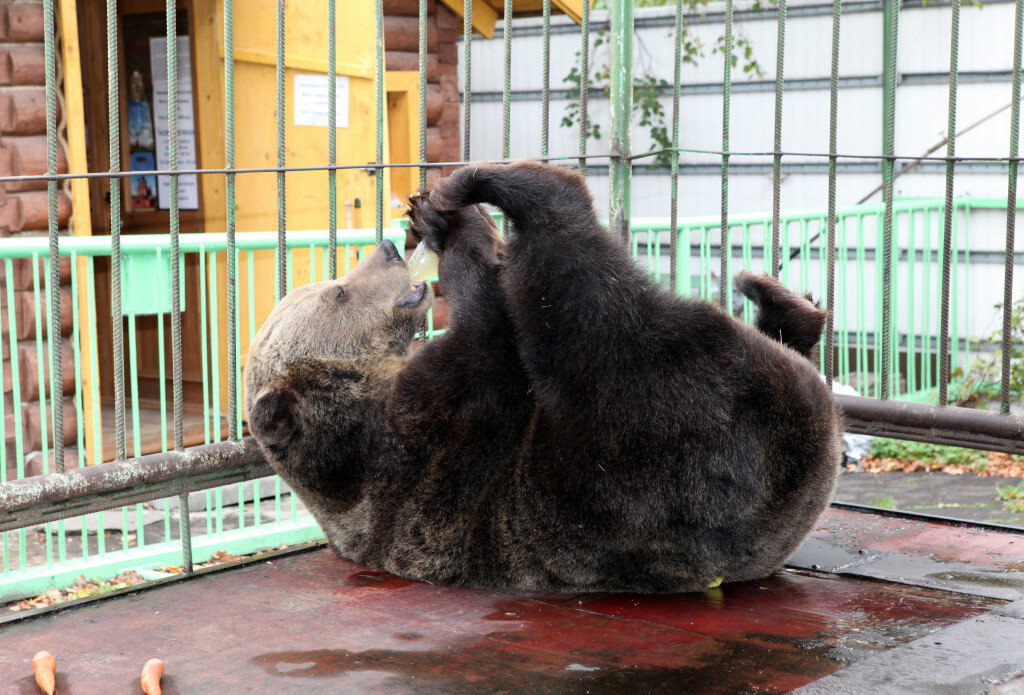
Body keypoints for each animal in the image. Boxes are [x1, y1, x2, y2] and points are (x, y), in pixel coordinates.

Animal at [241, 162, 839, 593]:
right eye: (338, 293)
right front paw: (455, 228)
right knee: (583, 293)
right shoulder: (420, 437)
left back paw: (778, 297)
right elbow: (485, 339)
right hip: (649, 441)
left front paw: (431, 217)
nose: (387, 249)